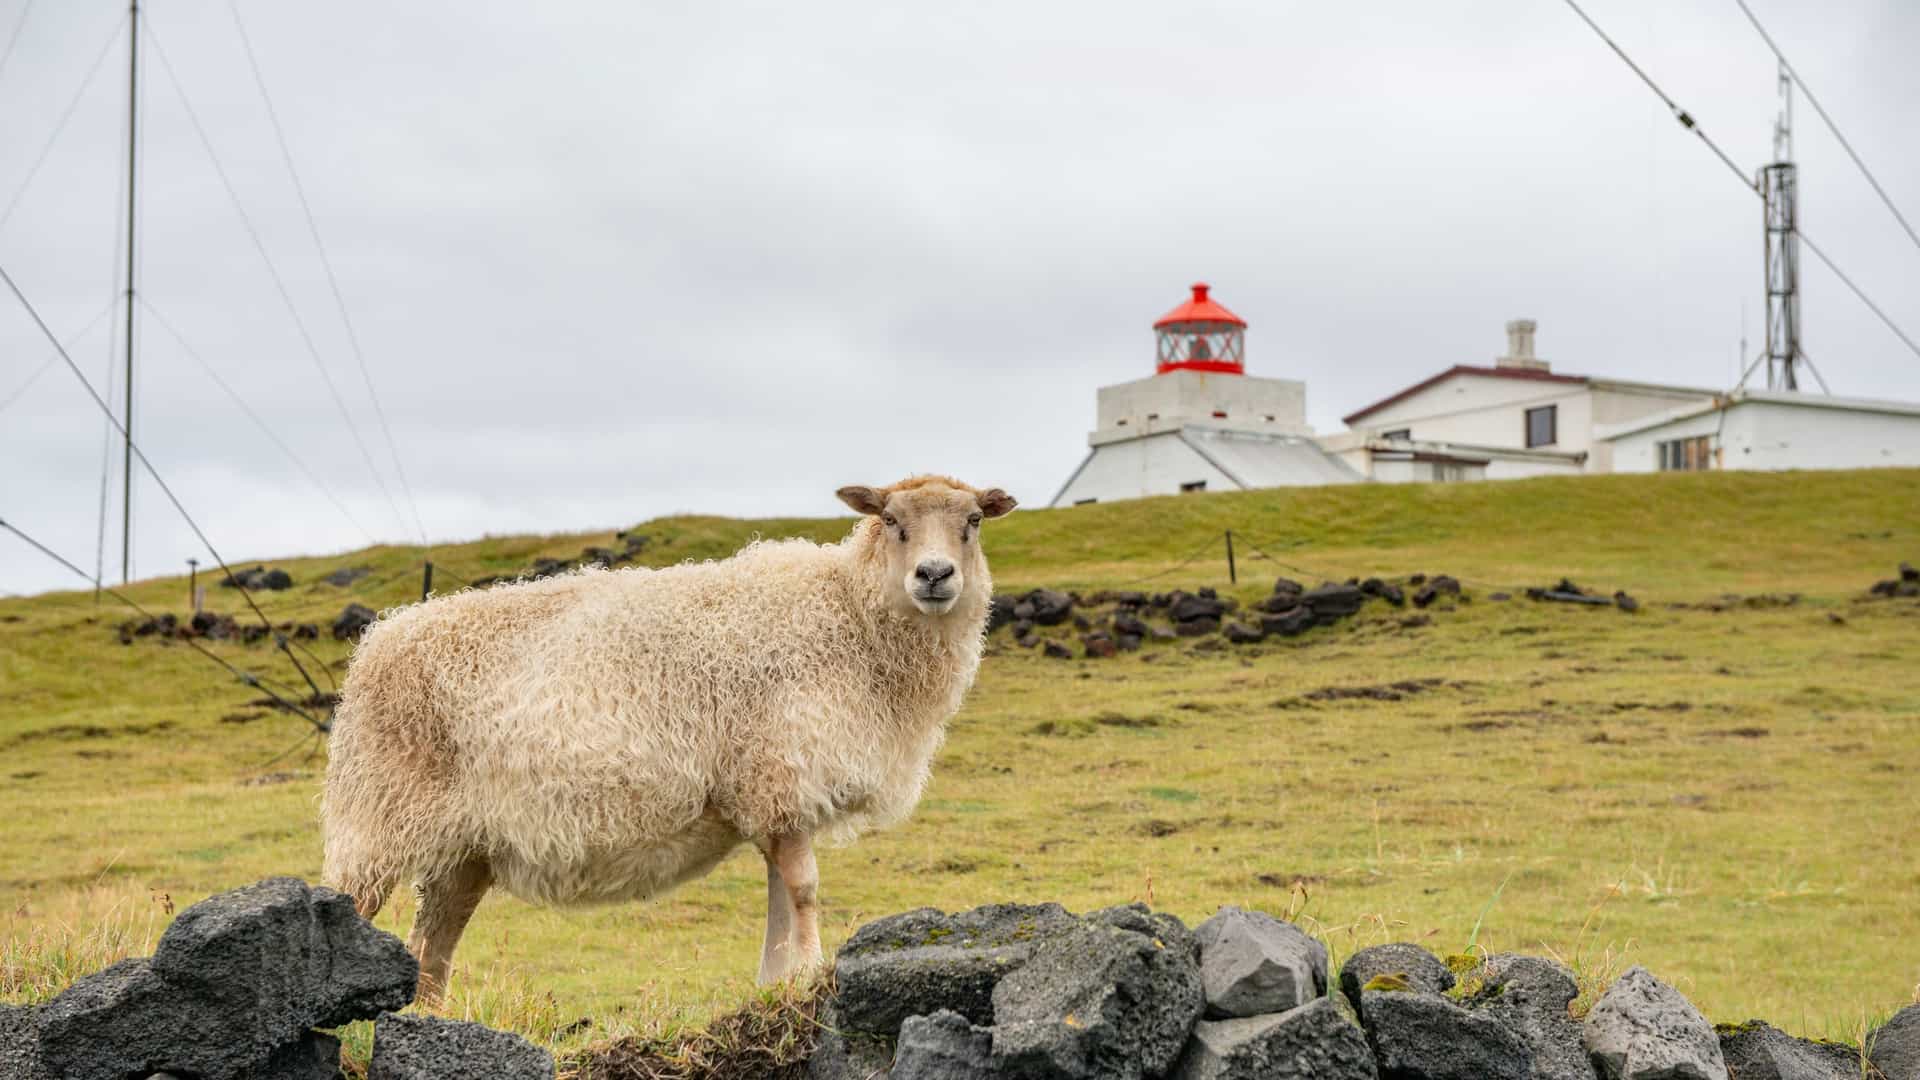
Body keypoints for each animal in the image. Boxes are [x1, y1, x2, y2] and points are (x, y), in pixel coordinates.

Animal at [321, 475, 1017, 1001]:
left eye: (974, 521)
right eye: (893, 520)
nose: (934, 575)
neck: (847, 614)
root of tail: (377, 641)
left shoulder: (770, 793)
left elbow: (779, 896)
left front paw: (775, 982)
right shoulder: (778, 774)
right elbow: (803, 889)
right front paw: (808, 972)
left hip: (462, 850)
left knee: (432, 949)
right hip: (378, 817)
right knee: (349, 911)